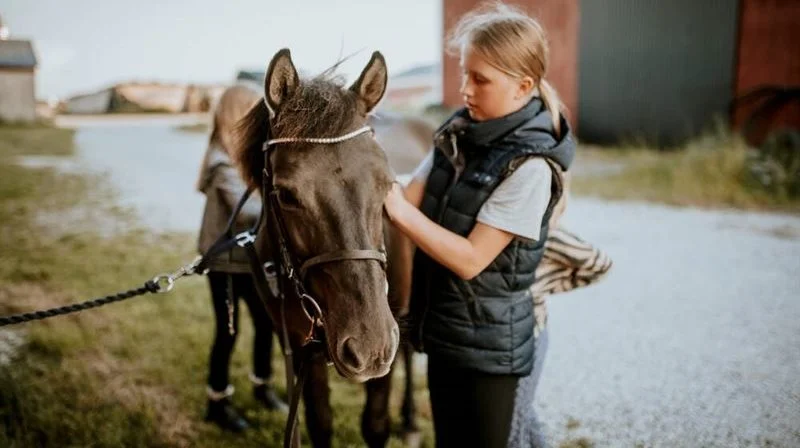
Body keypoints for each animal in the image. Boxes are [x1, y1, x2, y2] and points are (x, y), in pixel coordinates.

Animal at [236, 47, 432, 446]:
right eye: (286, 195)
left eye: (387, 183)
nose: (370, 342)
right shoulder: (299, 348)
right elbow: (319, 422)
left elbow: (375, 423)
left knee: (407, 350)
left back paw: (409, 420)